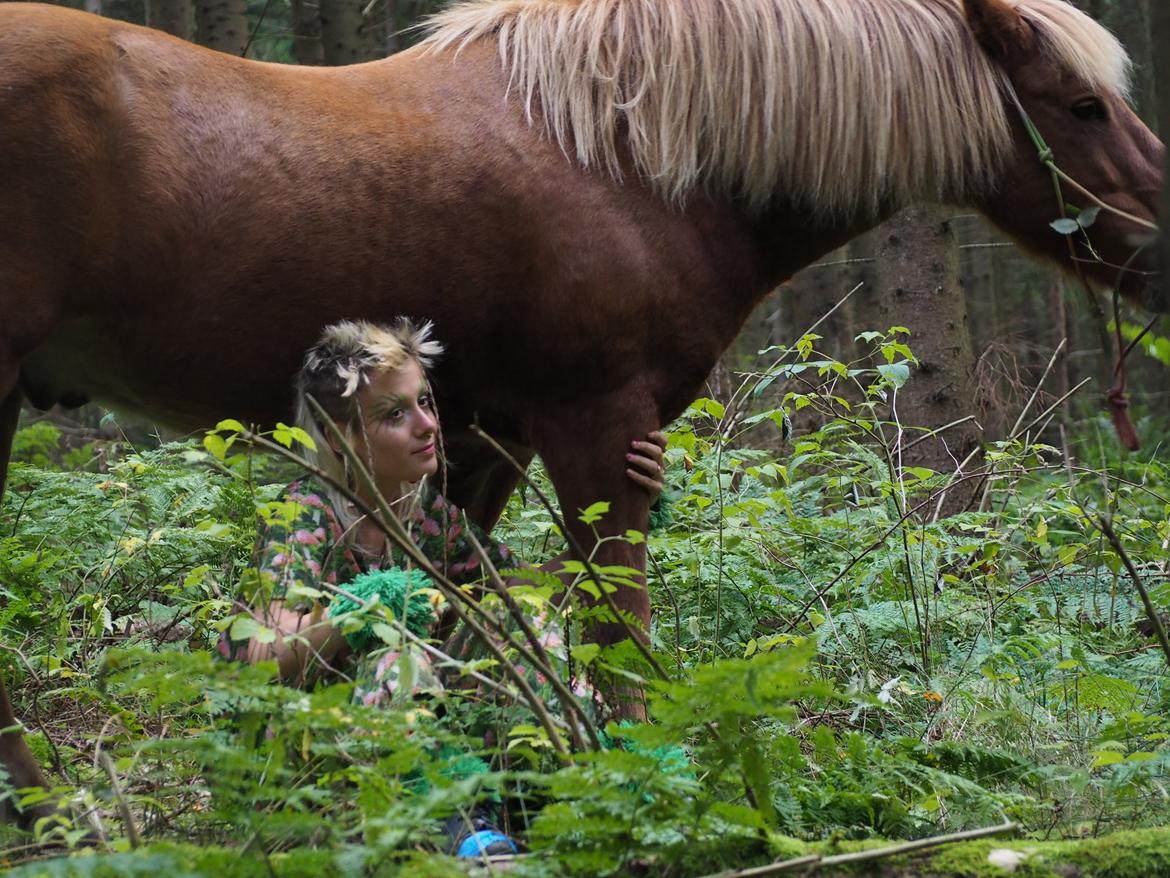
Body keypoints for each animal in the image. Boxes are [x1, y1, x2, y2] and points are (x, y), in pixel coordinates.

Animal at [0, 0, 1160, 824]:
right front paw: (639, 783)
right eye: (1083, 106)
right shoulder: (594, 425)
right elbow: (617, 629)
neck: (631, 156)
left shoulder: (482, 442)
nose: (1163, 249)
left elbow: (466, 619)